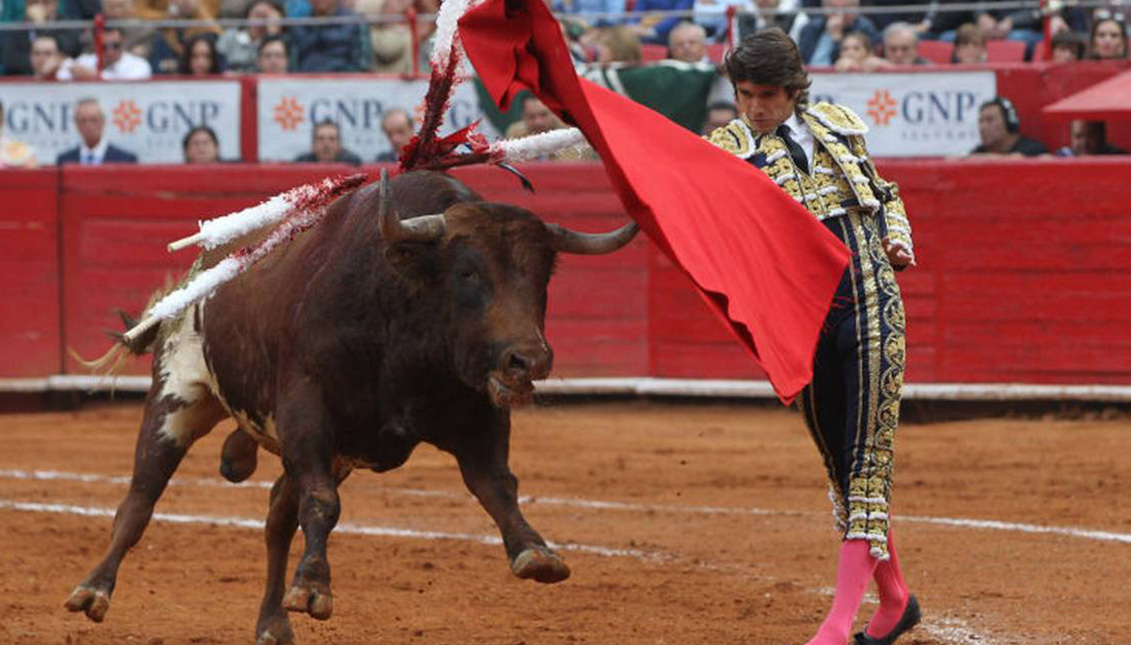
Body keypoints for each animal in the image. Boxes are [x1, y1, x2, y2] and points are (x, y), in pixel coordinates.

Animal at [66, 170, 642, 642]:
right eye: (467, 273)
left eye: (542, 275)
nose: (528, 359)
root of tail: (198, 272)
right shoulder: (307, 412)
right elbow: (323, 503)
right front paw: (314, 588)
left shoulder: (477, 412)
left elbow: (496, 485)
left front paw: (535, 551)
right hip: (178, 396)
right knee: (140, 500)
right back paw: (93, 590)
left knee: (278, 516)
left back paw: (273, 623)